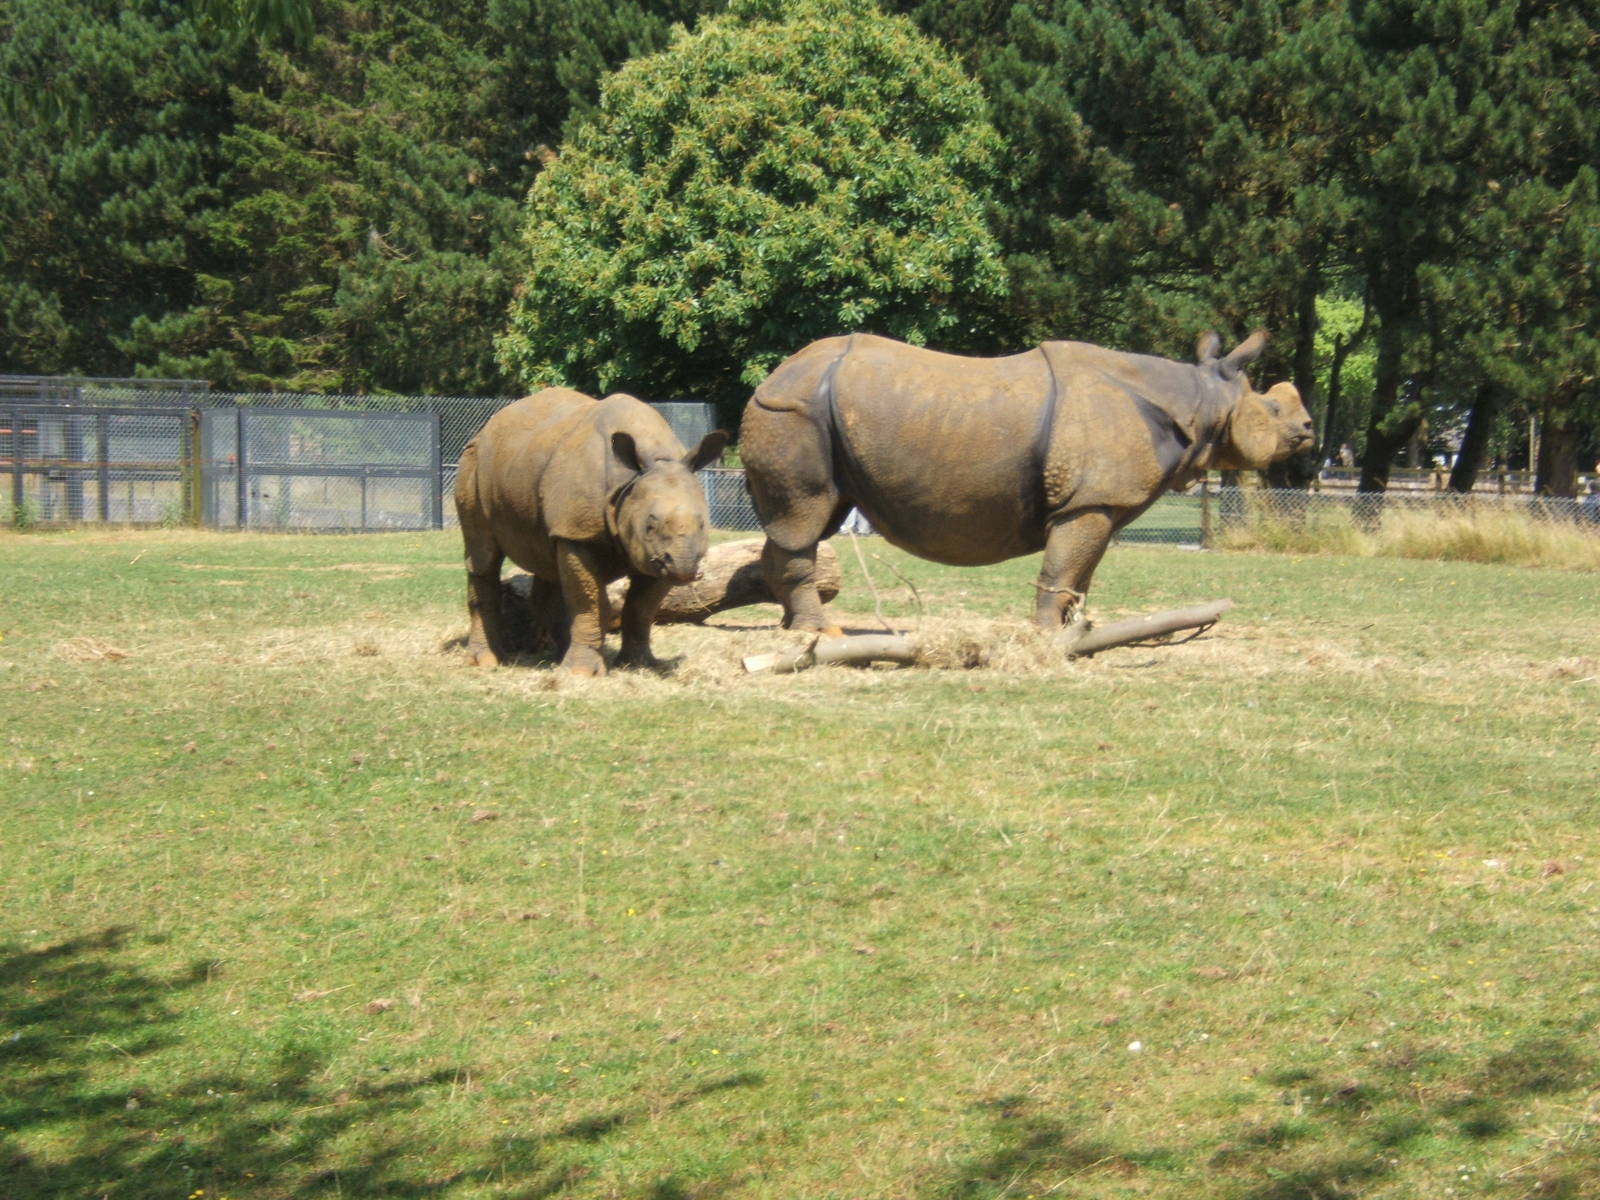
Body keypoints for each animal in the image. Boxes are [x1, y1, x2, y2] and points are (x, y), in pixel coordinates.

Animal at [454, 388, 727, 675]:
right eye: (649, 526)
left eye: (702, 524)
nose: (685, 568)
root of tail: (491, 423)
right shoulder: (578, 533)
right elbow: (589, 602)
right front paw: (581, 673)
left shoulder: (655, 556)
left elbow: (641, 608)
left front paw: (640, 664)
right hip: (472, 463)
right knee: (483, 557)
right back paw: (485, 662)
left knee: (548, 560)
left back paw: (555, 658)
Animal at [741, 330, 1313, 630]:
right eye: (1273, 408)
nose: (1309, 430)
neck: (1199, 400)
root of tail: (770, 377)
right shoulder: (1088, 499)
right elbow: (1062, 567)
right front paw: (1044, 638)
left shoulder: (1098, 503)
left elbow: (1081, 572)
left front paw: (1072, 633)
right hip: (792, 410)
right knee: (804, 518)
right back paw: (822, 632)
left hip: (807, 412)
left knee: (808, 523)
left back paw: (794, 629)